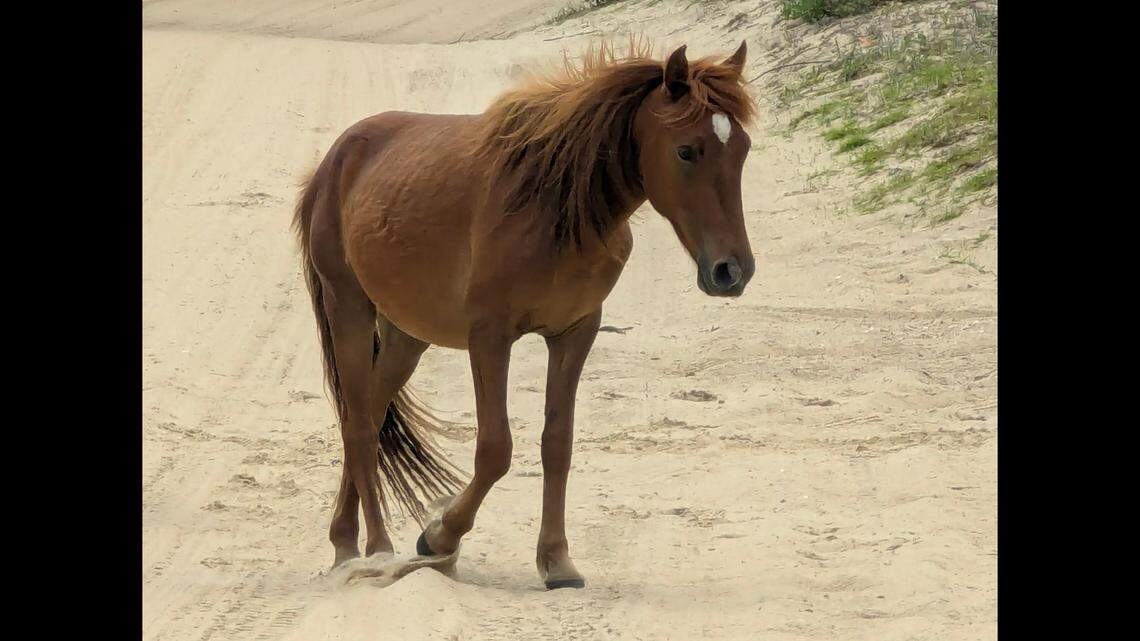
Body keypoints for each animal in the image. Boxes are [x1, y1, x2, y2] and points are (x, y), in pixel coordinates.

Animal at [292, 40, 757, 589]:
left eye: (743, 149)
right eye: (687, 150)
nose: (733, 271)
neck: (558, 208)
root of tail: (336, 159)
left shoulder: (575, 333)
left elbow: (557, 444)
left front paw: (557, 561)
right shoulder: (490, 338)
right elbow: (495, 449)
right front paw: (440, 537)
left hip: (406, 336)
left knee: (368, 411)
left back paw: (345, 543)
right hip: (349, 308)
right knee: (360, 428)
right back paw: (379, 552)